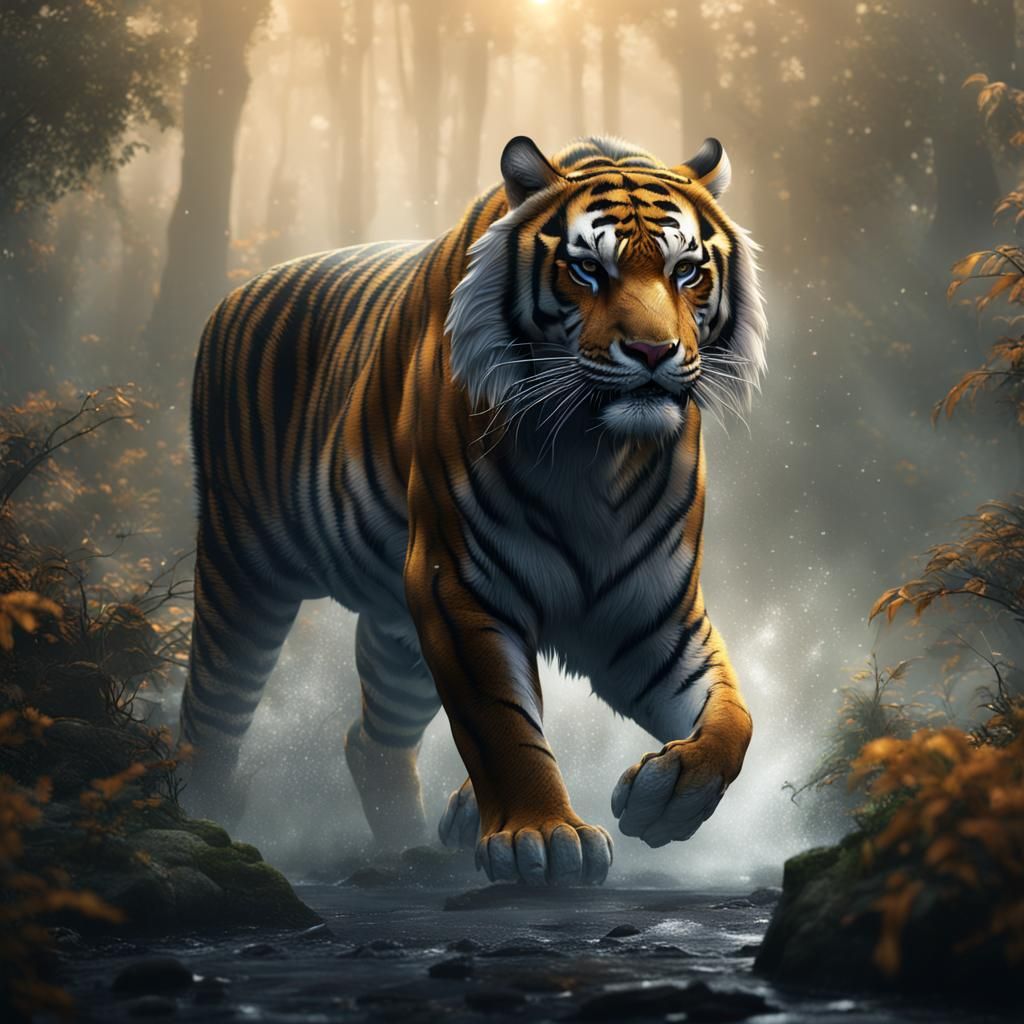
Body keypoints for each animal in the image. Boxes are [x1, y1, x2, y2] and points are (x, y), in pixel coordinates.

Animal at [180, 134, 767, 886]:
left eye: (686, 270)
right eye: (587, 269)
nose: (652, 351)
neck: (599, 453)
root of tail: (233, 294)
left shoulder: (654, 616)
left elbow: (732, 717)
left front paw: (667, 796)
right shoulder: (458, 584)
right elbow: (501, 723)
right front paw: (542, 837)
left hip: (396, 633)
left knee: (370, 742)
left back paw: (412, 846)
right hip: (243, 578)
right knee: (210, 718)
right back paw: (205, 823)